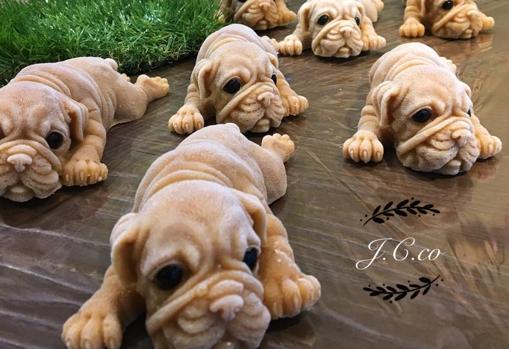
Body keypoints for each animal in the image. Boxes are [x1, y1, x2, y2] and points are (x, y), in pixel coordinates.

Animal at [0, 57, 170, 201]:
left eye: (55, 139)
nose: (19, 160)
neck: (38, 80)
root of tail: (105, 61)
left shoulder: (89, 115)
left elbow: (91, 140)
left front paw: (82, 166)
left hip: (129, 102)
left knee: (140, 95)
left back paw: (155, 84)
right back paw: (126, 76)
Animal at [61, 123, 320, 348]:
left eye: (251, 256)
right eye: (169, 275)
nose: (229, 304)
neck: (189, 179)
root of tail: (226, 126)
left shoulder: (263, 214)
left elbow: (276, 243)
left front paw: (287, 283)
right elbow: (114, 282)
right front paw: (94, 318)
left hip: (272, 175)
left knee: (274, 163)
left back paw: (278, 144)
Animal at [169, 23, 308, 134]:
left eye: (274, 79)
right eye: (233, 85)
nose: (267, 97)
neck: (229, 41)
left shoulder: (277, 72)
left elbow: (283, 82)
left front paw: (291, 99)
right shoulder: (196, 85)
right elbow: (192, 99)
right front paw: (186, 115)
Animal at [342, 43, 500, 174]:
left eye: (468, 111)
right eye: (422, 115)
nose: (463, 137)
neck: (414, 65)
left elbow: (476, 122)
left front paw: (485, 139)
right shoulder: (372, 108)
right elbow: (368, 122)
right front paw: (363, 142)